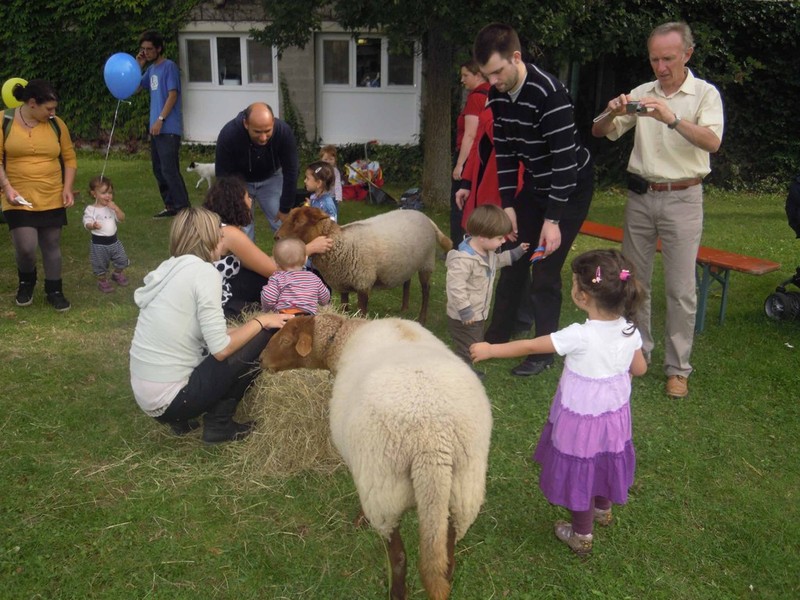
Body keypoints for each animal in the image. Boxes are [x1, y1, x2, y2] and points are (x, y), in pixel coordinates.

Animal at [260, 313, 492, 600]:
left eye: (284, 340)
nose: (261, 360)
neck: (344, 336)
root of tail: (431, 442)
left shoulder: (362, 471)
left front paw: (359, 519)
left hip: (384, 494)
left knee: (399, 557)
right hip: (462, 494)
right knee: (447, 560)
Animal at [274, 205, 452, 324]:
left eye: (299, 221)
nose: (277, 237)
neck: (342, 244)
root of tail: (425, 217)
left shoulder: (363, 283)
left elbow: (361, 313)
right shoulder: (343, 284)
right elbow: (344, 308)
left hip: (426, 263)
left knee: (426, 290)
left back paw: (422, 318)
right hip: (406, 264)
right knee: (407, 281)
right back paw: (404, 308)